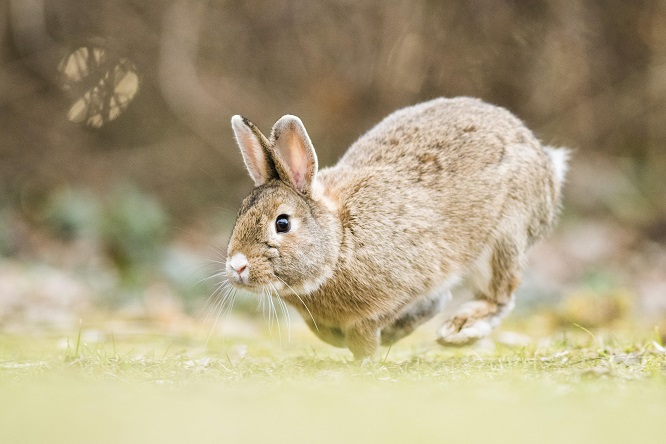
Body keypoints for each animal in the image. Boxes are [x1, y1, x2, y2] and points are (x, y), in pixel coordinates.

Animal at [223, 95, 564, 360]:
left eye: (282, 223)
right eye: (239, 215)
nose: (237, 266)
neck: (340, 241)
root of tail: (546, 163)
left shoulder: (410, 283)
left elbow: (366, 331)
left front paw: (367, 353)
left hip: (503, 238)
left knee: (501, 296)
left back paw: (458, 330)